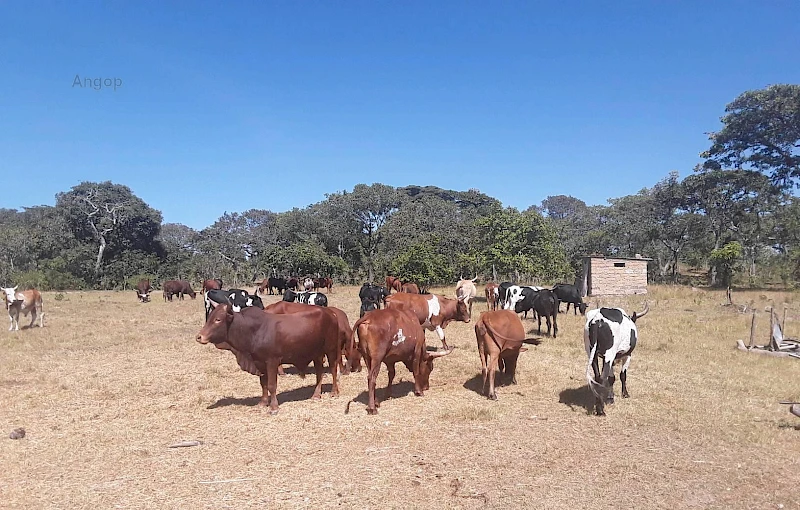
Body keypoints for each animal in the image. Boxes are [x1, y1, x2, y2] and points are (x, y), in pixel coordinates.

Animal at [198, 302, 342, 414]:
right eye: (209, 317)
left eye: (218, 319)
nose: (199, 337)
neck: (253, 331)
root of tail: (330, 313)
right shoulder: (259, 362)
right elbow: (264, 384)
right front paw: (262, 402)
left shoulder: (272, 361)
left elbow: (272, 385)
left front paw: (274, 407)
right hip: (317, 353)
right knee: (319, 373)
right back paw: (316, 394)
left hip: (331, 350)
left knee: (333, 369)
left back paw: (334, 392)